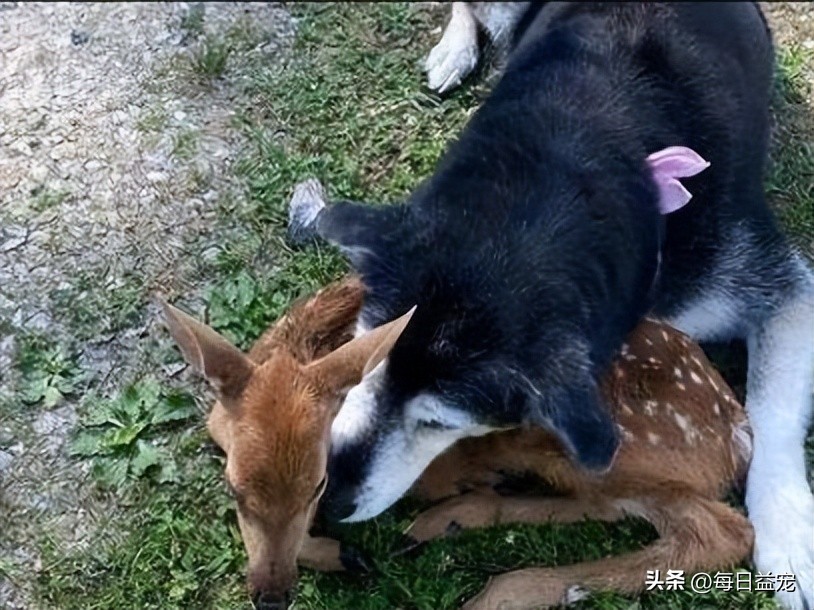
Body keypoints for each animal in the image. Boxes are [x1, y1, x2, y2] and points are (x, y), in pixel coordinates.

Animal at [158, 276, 753, 610]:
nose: (272, 598)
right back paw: (446, 523)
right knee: (626, 508)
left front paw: (343, 553)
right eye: (233, 488)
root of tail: (736, 426)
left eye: (317, 483)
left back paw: (496, 591)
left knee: (722, 531)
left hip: (603, 439)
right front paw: (344, 554)